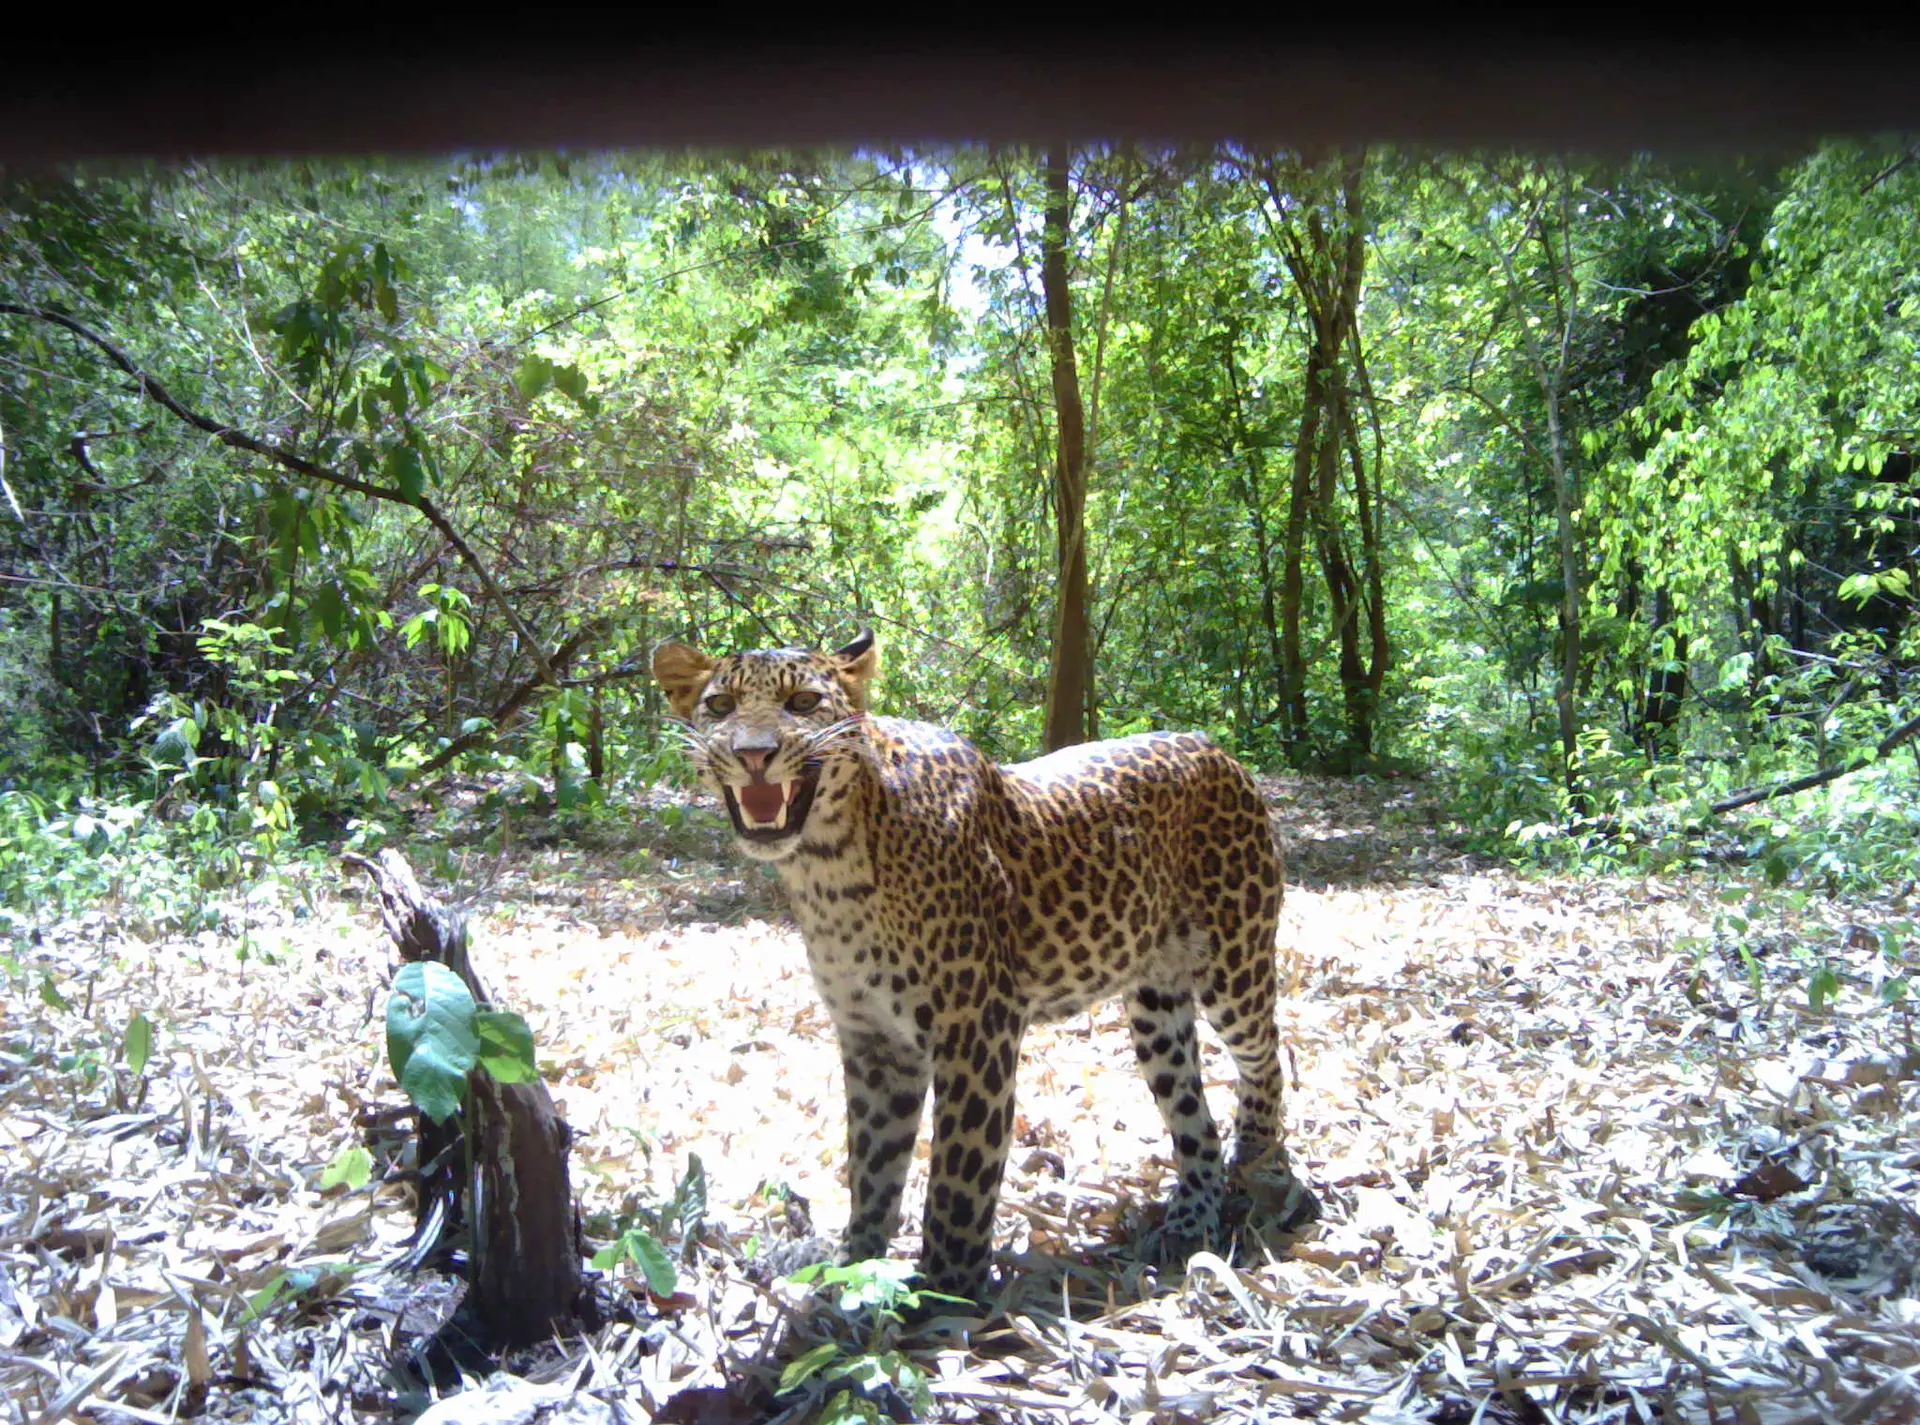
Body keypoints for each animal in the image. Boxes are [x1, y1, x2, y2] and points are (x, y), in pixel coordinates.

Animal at [651, 628, 1318, 1301]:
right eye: (720, 706)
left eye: (804, 702)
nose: (754, 754)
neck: (829, 866)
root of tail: (1217, 748)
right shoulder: (875, 1040)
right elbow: (872, 1166)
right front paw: (858, 1268)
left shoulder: (976, 1029)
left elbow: (959, 1177)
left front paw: (946, 1290)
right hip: (1157, 1007)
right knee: (1191, 1117)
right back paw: (1188, 1222)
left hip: (1235, 964)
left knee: (1266, 1056)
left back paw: (1261, 1166)